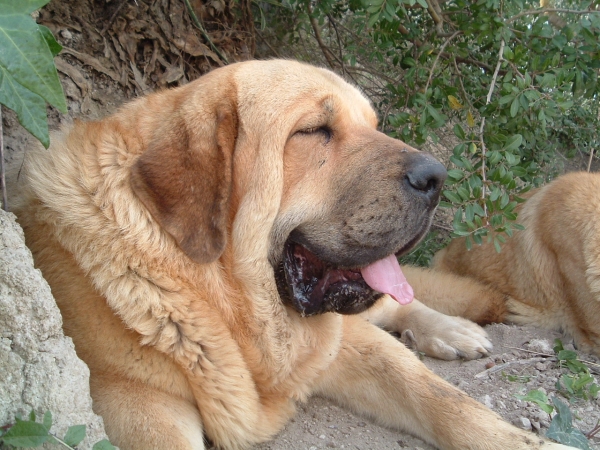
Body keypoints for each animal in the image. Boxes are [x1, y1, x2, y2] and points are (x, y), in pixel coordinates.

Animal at [17, 59, 572, 450]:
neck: (220, 297)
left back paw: (451, 330)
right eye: (313, 131)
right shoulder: (132, 400)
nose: (437, 177)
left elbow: (445, 399)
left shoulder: (344, 347)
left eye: (374, 125)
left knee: (400, 307)